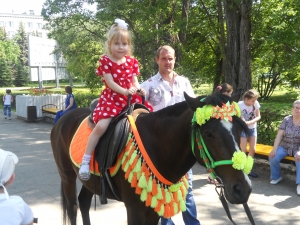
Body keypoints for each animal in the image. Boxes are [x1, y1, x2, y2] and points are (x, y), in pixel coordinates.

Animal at [51, 92, 251, 225]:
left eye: (239, 130)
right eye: (209, 134)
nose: (242, 189)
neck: (157, 147)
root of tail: (62, 118)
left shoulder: (152, 210)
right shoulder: (135, 211)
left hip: (90, 181)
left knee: (84, 203)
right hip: (67, 176)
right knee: (73, 207)